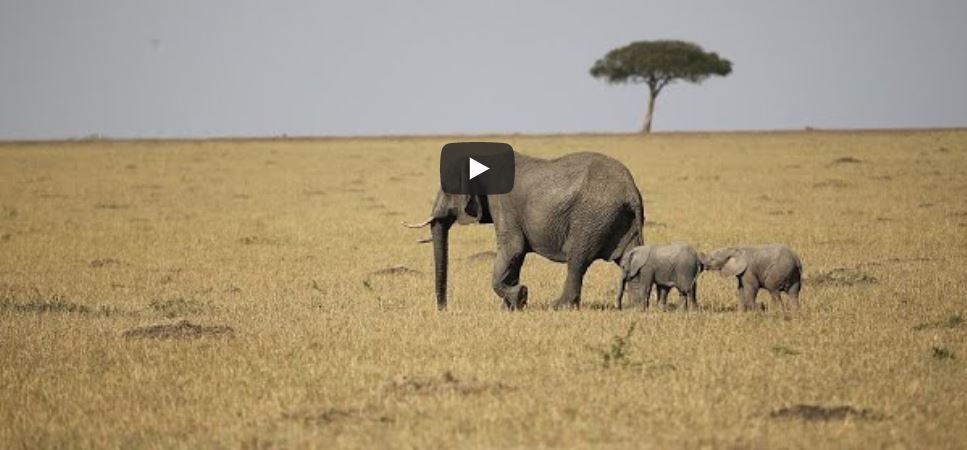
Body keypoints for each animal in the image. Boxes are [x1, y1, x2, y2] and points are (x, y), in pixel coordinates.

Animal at [404, 151, 648, 310]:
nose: (443, 309)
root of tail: (631, 191)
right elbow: (515, 257)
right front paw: (510, 306)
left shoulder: (503, 203)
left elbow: (512, 249)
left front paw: (520, 297)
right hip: (618, 219)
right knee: (629, 258)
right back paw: (636, 307)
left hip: (591, 217)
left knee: (577, 260)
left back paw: (559, 306)